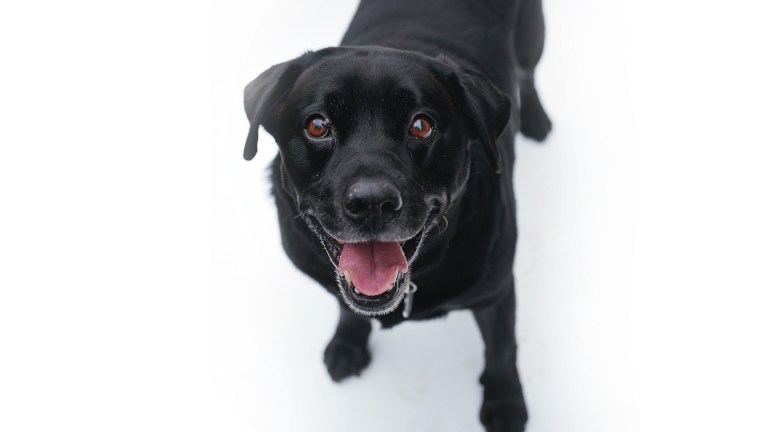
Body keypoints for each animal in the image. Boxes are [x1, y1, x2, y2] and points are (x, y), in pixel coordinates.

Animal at [243, 1, 548, 430]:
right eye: (317, 126)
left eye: (421, 126)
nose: (372, 202)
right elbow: (347, 306)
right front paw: (347, 344)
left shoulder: (498, 289)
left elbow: (502, 347)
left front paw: (505, 403)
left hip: (532, 38)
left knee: (528, 73)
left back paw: (536, 119)